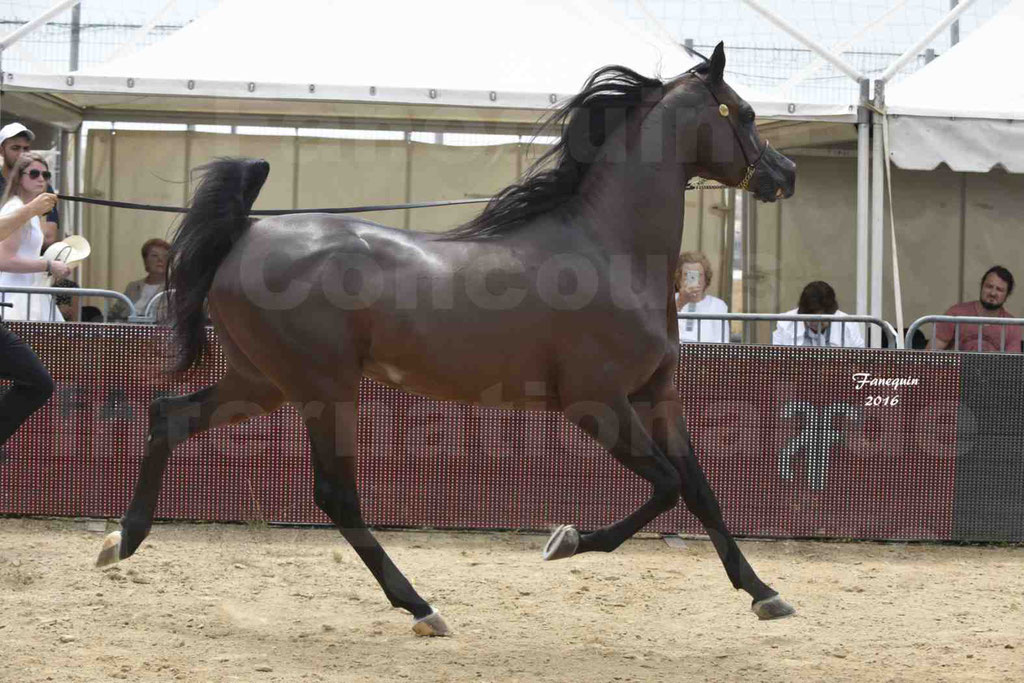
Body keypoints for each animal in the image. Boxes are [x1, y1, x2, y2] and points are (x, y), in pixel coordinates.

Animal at [96, 45, 794, 638]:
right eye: (746, 113)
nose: (784, 174)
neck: (608, 249)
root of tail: (245, 232)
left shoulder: (657, 395)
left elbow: (701, 490)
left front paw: (764, 593)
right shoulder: (595, 404)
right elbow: (667, 487)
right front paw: (564, 541)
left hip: (261, 380)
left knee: (169, 417)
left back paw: (119, 543)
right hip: (323, 388)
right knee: (335, 494)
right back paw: (421, 607)